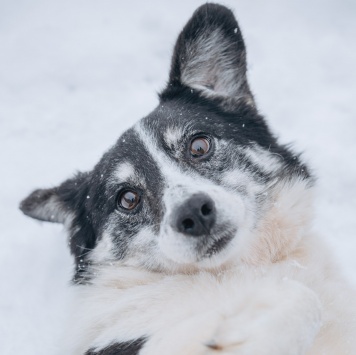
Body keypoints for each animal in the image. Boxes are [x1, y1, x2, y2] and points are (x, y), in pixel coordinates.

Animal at [20, 3, 356, 355]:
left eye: (199, 146)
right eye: (127, 199)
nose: (194, 213)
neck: (237, 268)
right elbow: (305, 296)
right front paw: (255, 328)